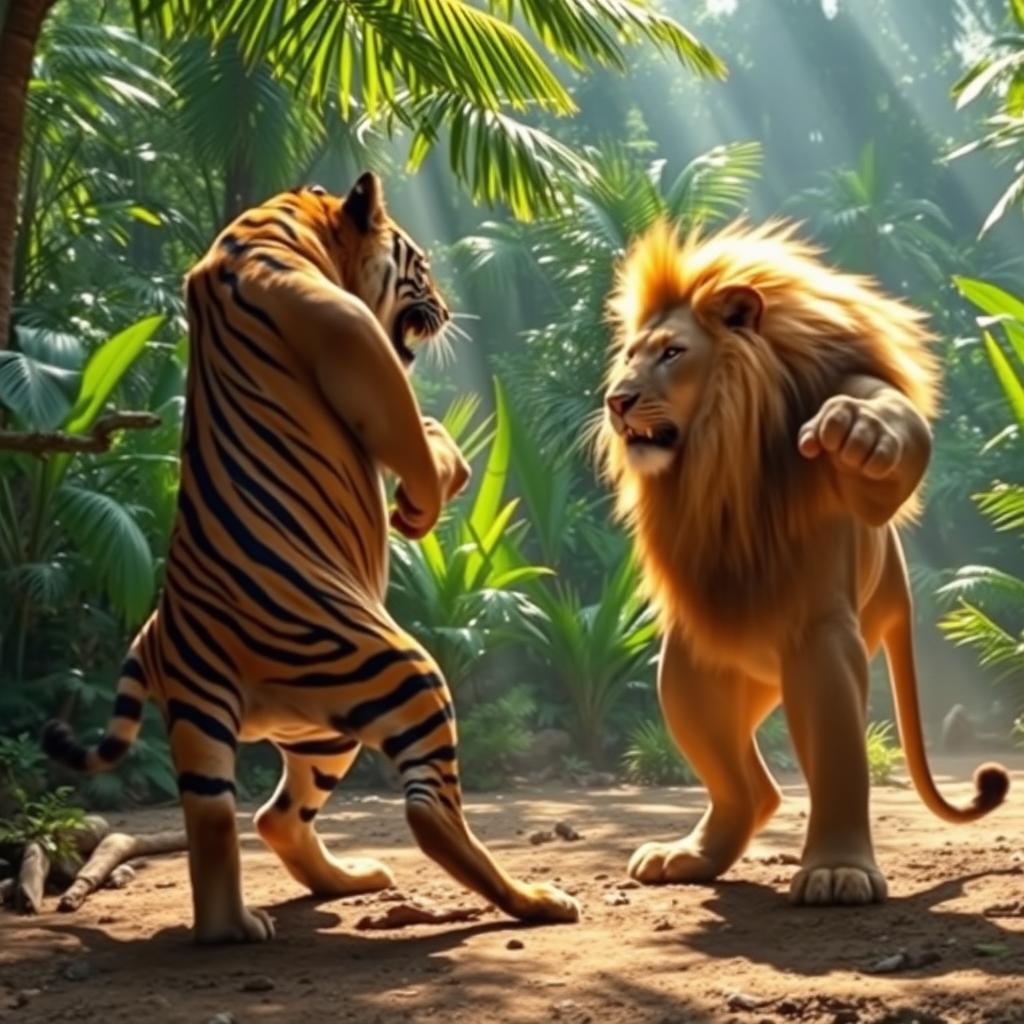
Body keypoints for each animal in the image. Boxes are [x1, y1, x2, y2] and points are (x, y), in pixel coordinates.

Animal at [43, 172, 580, 942]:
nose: (448, 310)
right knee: (427, 811)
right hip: (402, 671)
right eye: (421, 266)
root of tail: (156, 636)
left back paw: (278, 909)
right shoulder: (353, 338)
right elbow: (416, 432)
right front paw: (424, 498)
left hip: (276, 729)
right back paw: (531, 899)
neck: (270, 229)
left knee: (245, 820)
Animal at [598, 219, 1009, 905]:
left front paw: (860, 431)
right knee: (753, 791)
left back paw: (832, 868)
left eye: (673, 354)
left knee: (824, 764)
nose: (616, 400)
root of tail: (899, 587)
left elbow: (884, 438)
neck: (726, 441)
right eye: (629, 355)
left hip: (824, 642)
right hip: (692, 668)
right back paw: (691, 855)